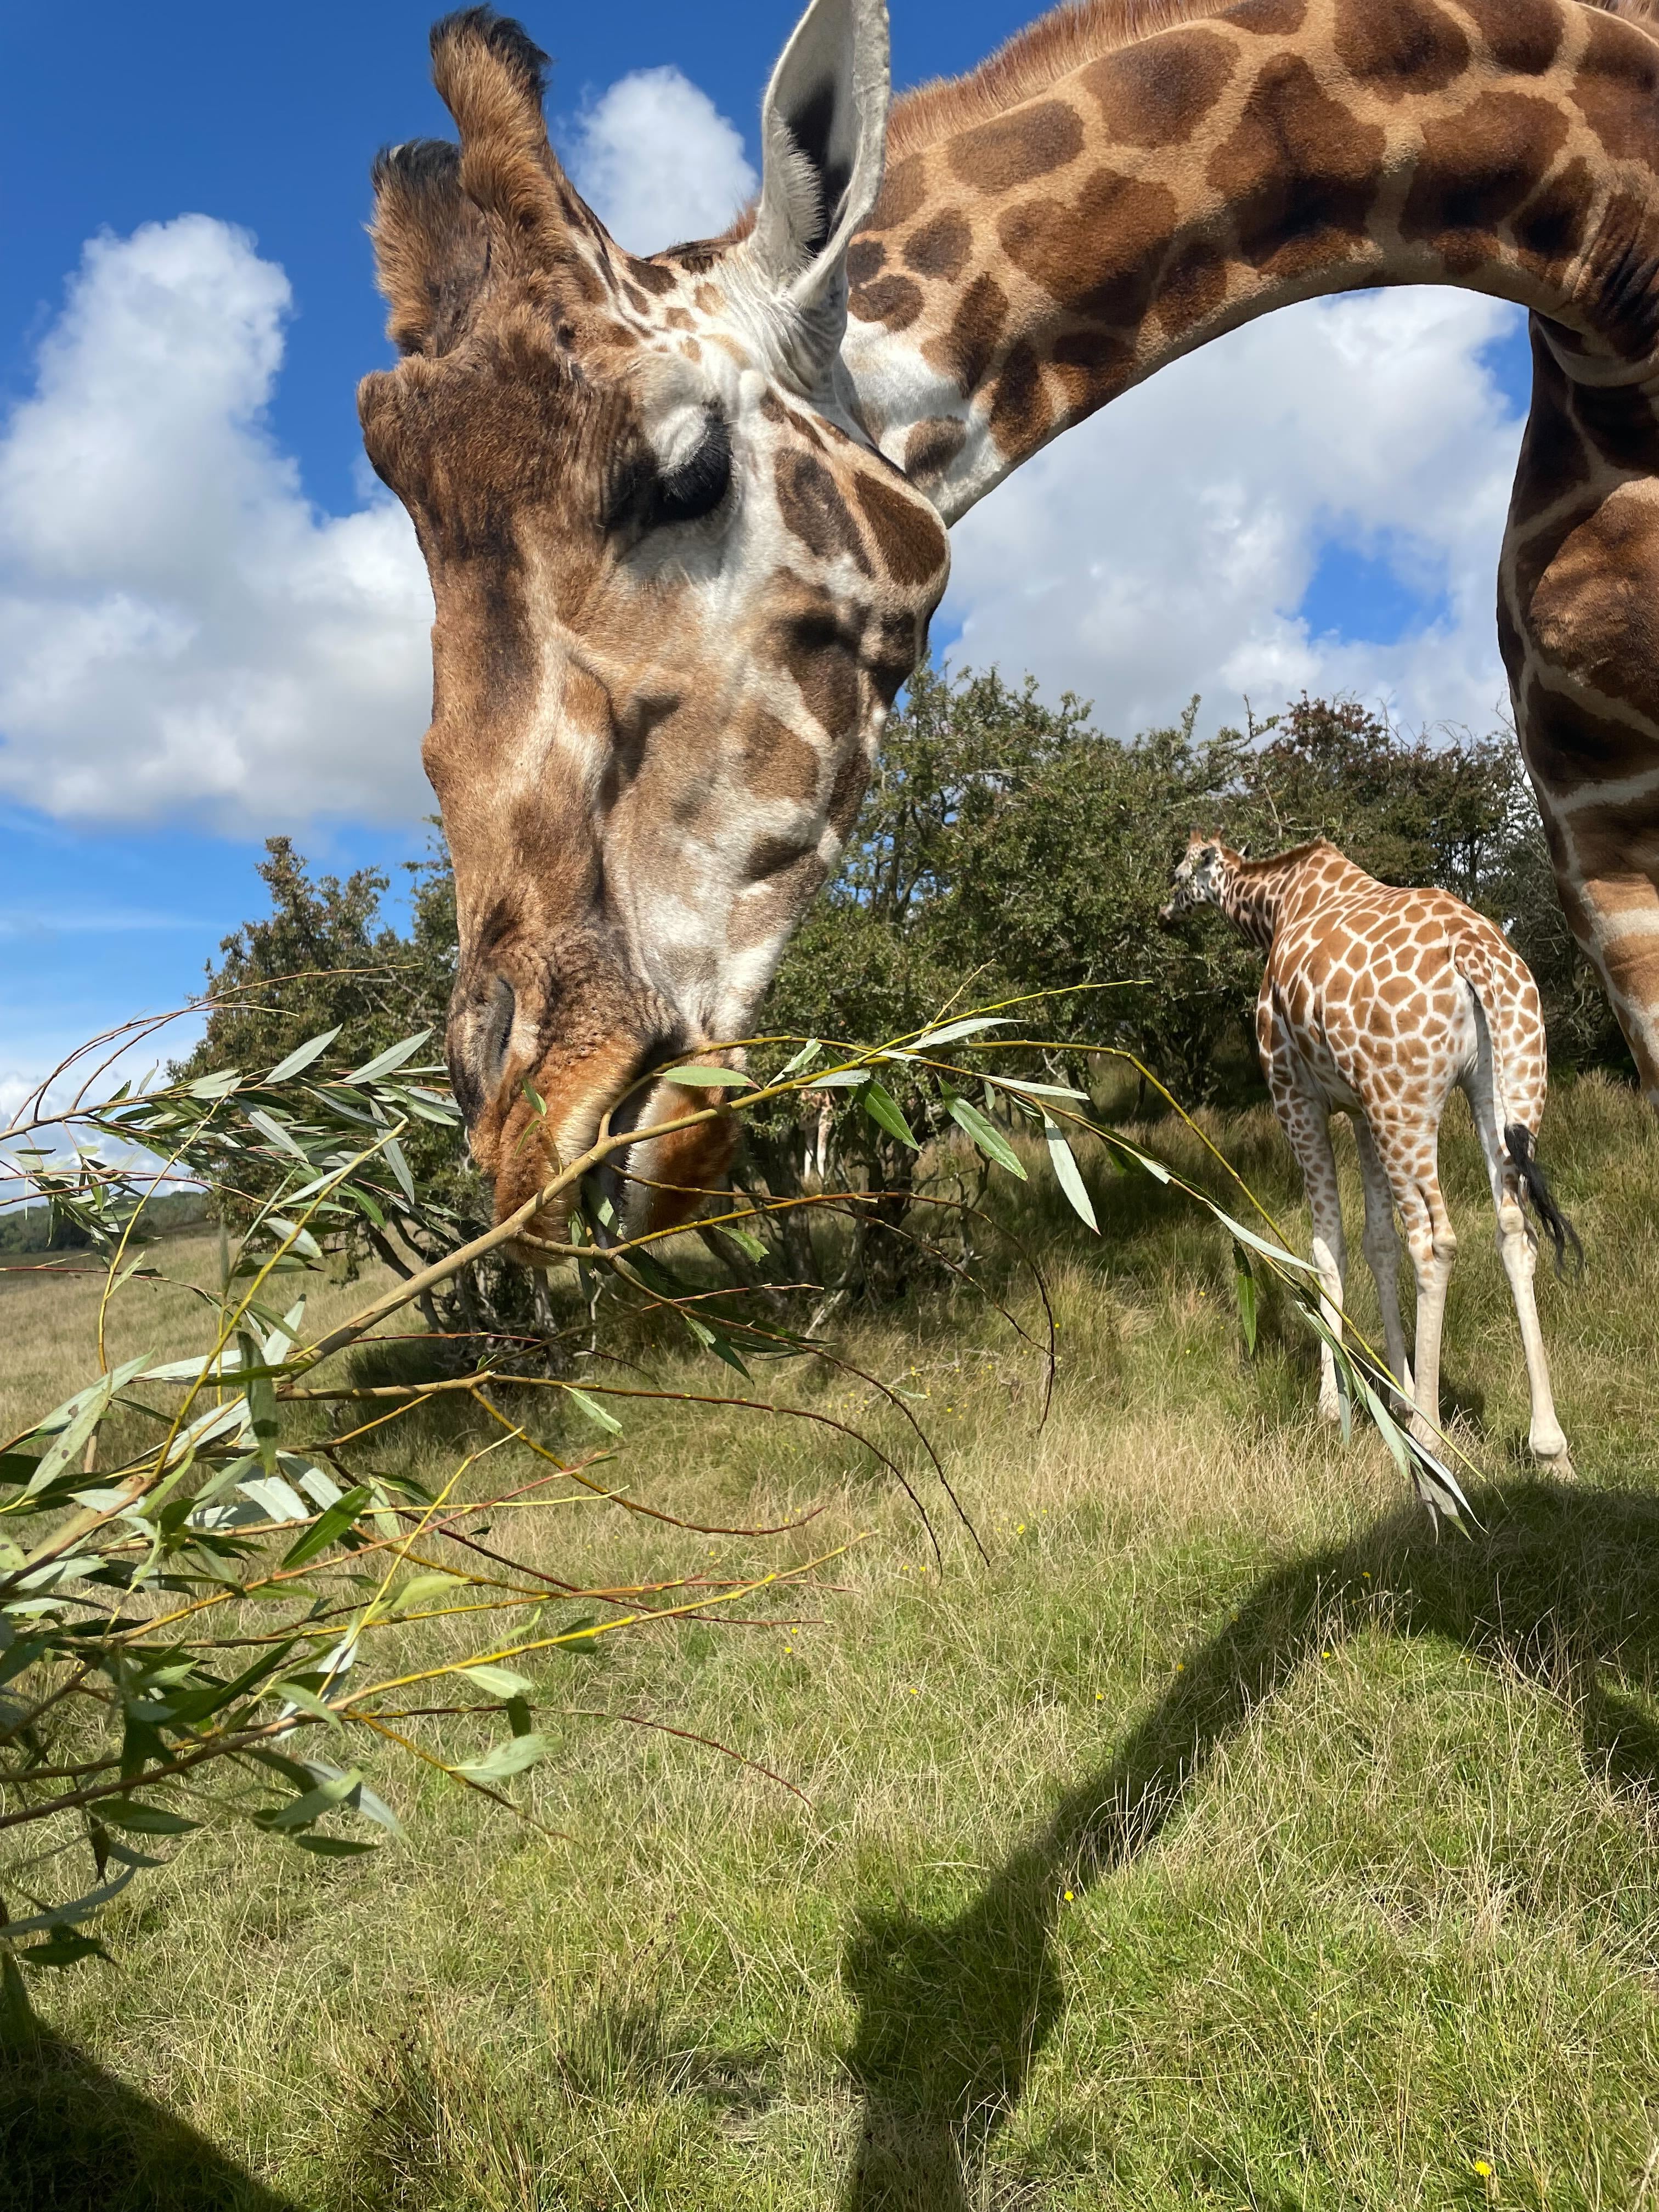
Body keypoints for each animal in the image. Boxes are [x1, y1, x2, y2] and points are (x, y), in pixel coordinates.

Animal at [1167, 832, 1583, 1469]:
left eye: (1179, 870)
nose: (1165, 913)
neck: (1278, 905)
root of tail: (1477, 957)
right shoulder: (1361, 1110)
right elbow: (1379, 1242)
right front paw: (1398, 1393)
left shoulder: (1296, 1095)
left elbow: (1326, 1247)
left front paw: (1334, 1406)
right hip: (1507, 1081)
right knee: (1514, 1227)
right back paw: (1549, 1447)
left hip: (1402, 1101)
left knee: (1435, 1243)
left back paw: (1430, 1444)